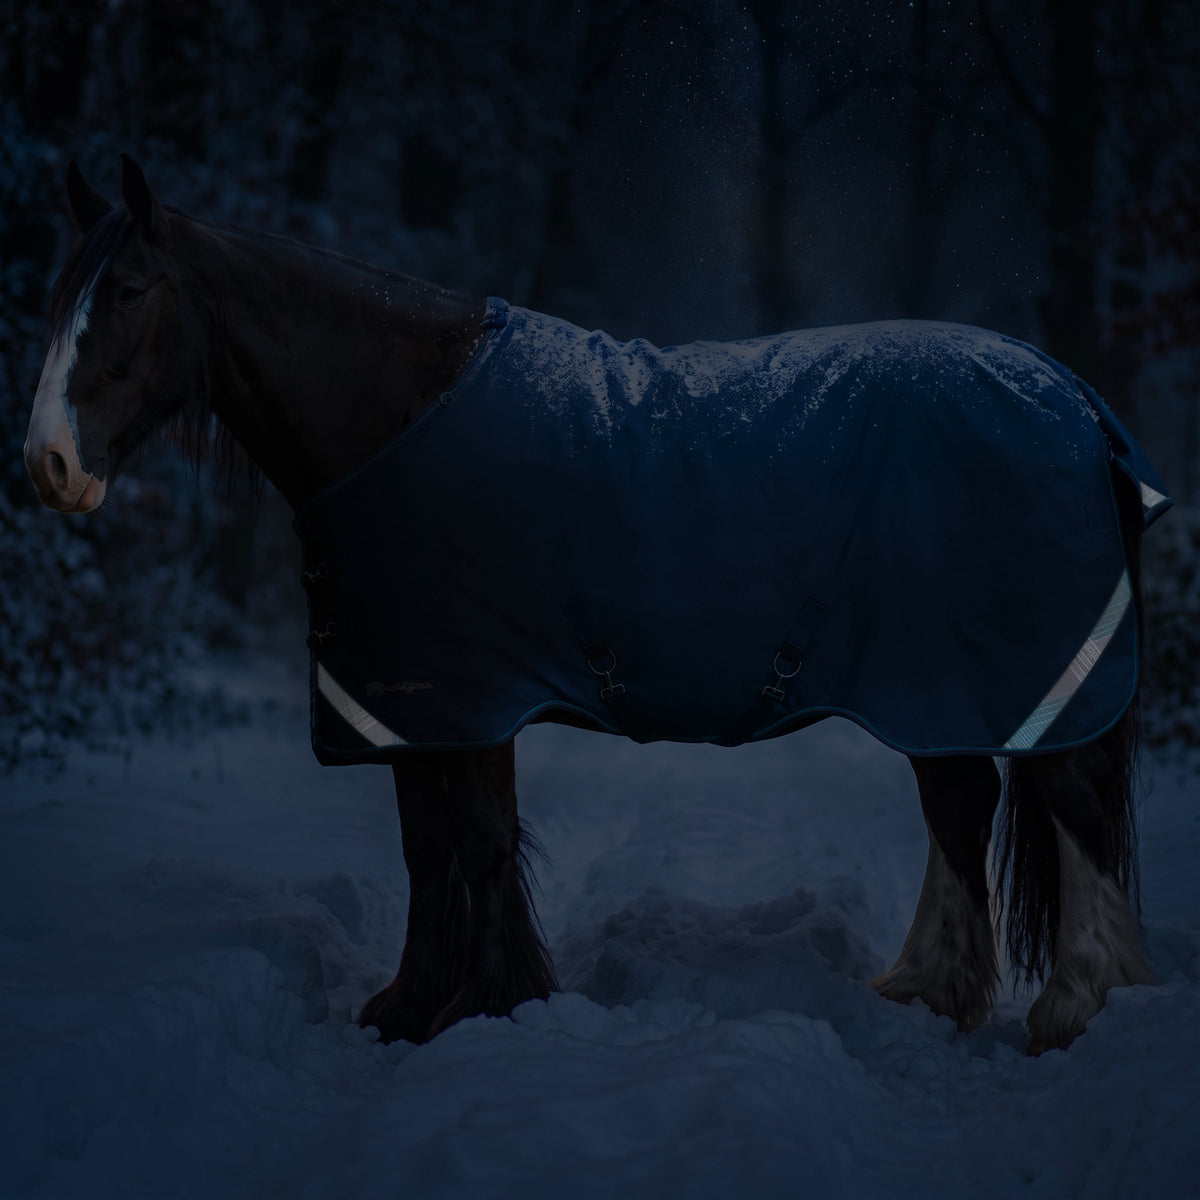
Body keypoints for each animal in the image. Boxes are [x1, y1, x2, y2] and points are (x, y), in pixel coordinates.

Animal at [24, 156, 1171, 1053]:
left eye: (129, 290)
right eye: (61, 295)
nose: (49, 463)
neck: (392, 414)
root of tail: (1076, 400)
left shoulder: (467, 694)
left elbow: (476, 841)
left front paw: (478, 1008)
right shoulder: (413, 702)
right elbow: (430, 845)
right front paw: (412, 1007)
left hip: (1020, 677)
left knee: (1067, 808)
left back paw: (1072, 1009)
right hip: (935, 686)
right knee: (962, 807)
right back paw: (929, 993)